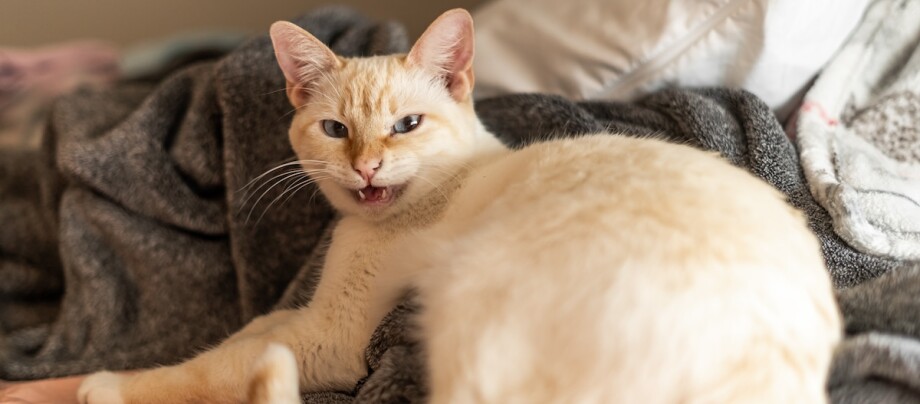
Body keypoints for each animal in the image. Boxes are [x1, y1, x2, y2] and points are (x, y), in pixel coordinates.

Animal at [79, 7, 840, 404]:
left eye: (406, 125)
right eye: (335, 130)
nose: (365, 166)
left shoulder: (337, 336)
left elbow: (208, 366)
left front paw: (97, 384)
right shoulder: (308, 313)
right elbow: (249, 330)